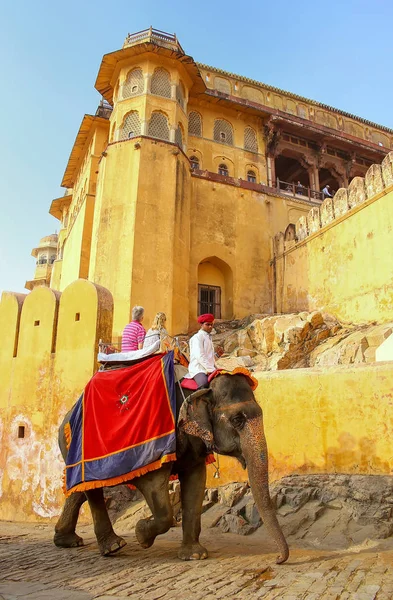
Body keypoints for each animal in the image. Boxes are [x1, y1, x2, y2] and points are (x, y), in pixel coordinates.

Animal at [53, 372, 288, 564]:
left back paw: (68, 541)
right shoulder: (155, 442)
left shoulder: (193, 445)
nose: (277, 559)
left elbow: (195, 483)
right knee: (91, 490)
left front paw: (195, 555)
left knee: (81, 490)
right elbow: (156, 491)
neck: (199, 389)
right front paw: (141, 535)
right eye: (237, 419)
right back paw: (113, 547)